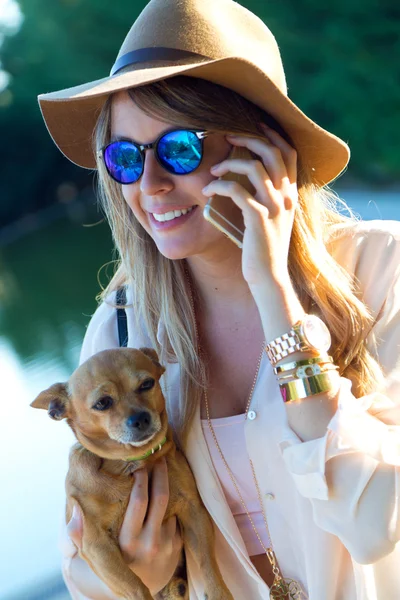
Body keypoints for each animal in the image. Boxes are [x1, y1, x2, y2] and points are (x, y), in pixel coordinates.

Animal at [32, 346, 234, 600]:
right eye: (102, 403)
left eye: (147, 384)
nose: (140, 418)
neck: (129, 463)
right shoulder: (95, 544)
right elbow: (135, 586)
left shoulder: (193, 511)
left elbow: (208, 565)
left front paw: (219, 593)